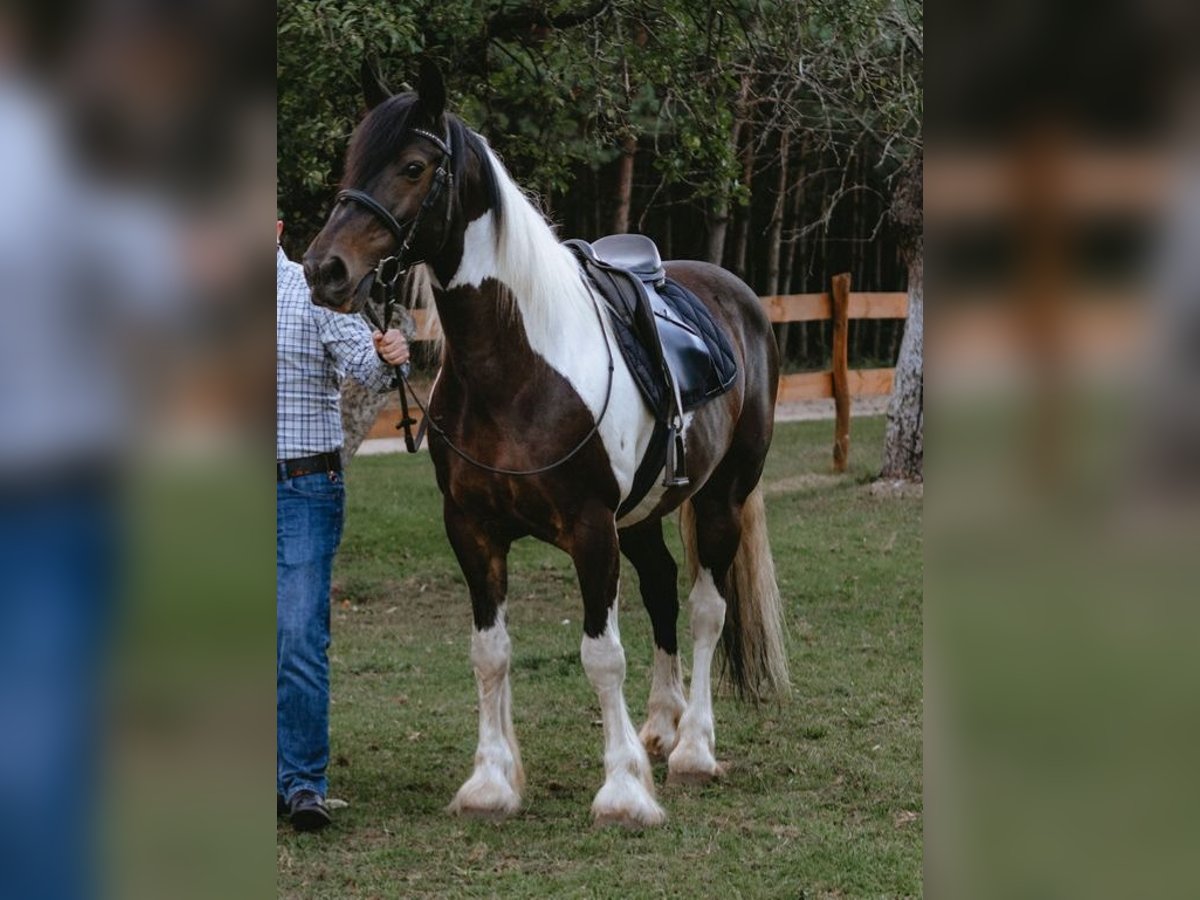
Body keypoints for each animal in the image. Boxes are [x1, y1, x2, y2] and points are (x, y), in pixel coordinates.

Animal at [302, 63, 789, 828]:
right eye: (352, 161)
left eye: (413, 167)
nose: (325, 269)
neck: (514, 367)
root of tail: (740, 301)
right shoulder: (472, 529)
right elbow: (490, 651)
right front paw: (491, 783)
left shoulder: (590, 529)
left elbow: (601, 654)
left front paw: (623, 791)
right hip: (641, 516)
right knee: (661, 591)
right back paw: (661, 726)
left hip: (721, 499)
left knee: (707, 610)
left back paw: (693, 750)